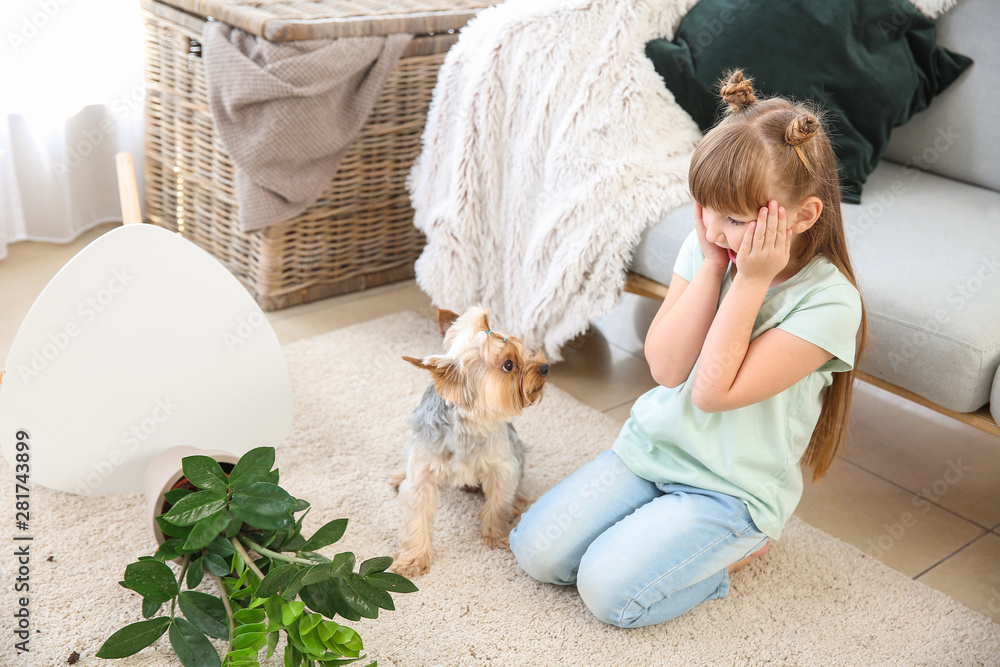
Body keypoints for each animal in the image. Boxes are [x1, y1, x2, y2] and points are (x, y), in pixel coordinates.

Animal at [388, 306, 548, 576]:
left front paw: (496, 535)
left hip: (515, 447)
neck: (468, 422)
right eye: (508, 365)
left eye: (522, 349)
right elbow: (416, 519)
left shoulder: (502, 466)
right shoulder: (421, 475)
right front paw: (414, 559)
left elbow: (497, 504)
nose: (545, 367)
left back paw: (518, 500)